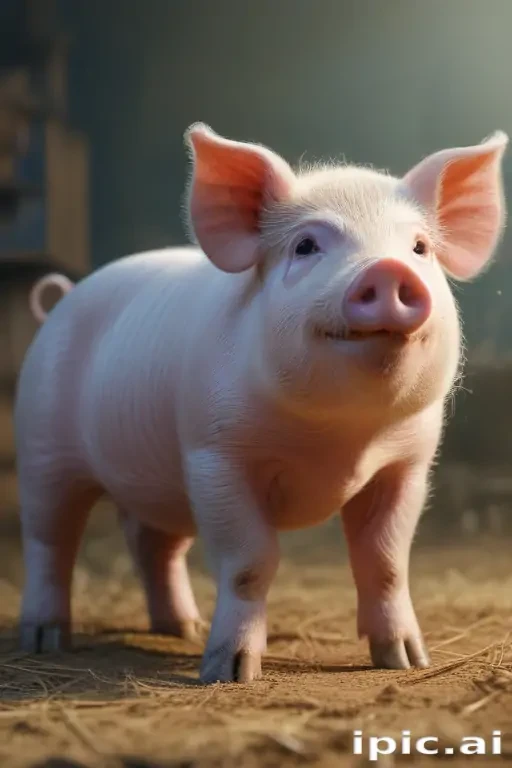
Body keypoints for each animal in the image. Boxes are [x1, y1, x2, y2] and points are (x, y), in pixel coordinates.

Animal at [14, 123, 508, 683]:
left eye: (420, 247)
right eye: (306, 245)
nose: (386, 270)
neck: (339, 440)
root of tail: (63, 298)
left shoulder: (406, 465)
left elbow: (384, 562)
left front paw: (404, 660)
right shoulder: (215, 456)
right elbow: (251, 561)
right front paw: (228, 673)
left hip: (158, 486)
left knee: (152, 545)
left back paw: (182, 628)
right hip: (42, 444)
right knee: (49, 539)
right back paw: (47, 639)